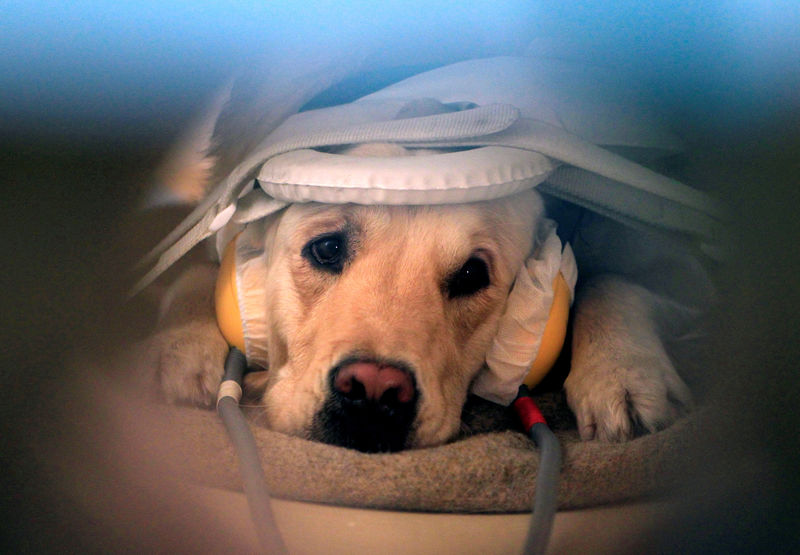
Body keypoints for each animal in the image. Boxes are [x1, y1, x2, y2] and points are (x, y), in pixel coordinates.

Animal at [145, 142, 692, 452]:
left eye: (472, 274)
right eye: (327, 248)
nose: (373, 391)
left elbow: (612, 280)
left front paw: (621, 372)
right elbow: (193, 271)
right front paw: (181, 349)